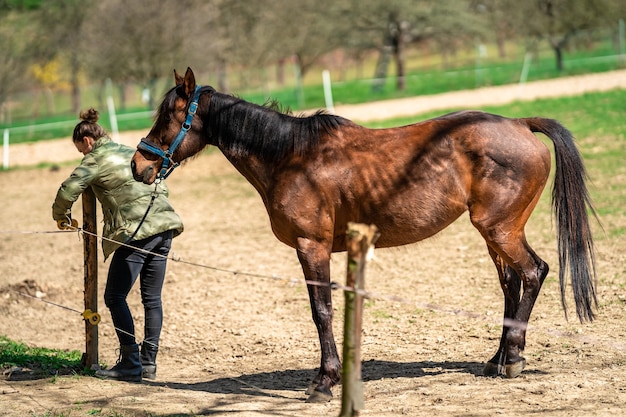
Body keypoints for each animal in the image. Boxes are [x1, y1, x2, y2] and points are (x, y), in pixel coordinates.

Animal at [130, 66, 596, 402]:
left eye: (168, 117)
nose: (139, 165)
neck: (291, 157)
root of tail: (519, 123)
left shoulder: (312, 247)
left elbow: (321, 311)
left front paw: (324, 382)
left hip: (499, 230)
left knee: (533, 272)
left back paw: (513, 358)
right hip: (495, 234)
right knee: (512, 284)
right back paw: (497, 360)